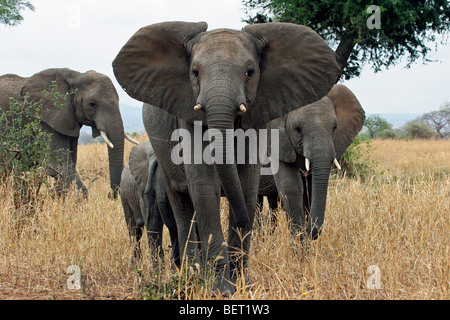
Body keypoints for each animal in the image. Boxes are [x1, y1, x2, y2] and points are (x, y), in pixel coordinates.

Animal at [0, 69, 139, 196]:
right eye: (92, 104)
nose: (110, 194)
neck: (76, 76)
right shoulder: (45, 121)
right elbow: (59, 165)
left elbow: (70, 162)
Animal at [113, 21, 342, 294]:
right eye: (195, 73)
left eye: (250, 72)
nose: (314, 231)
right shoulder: (188, 113)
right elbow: (204, 186)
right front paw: (219, 289)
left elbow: (246, 184)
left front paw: (243, 283)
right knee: (183, 209)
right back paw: (191, 277)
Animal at [256, 85, 366, 240]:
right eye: (297, 129)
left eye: (334, 128)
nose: (310, 231)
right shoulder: (276, 140)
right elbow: (292, 187)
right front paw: (299, 241)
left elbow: (310, 189)